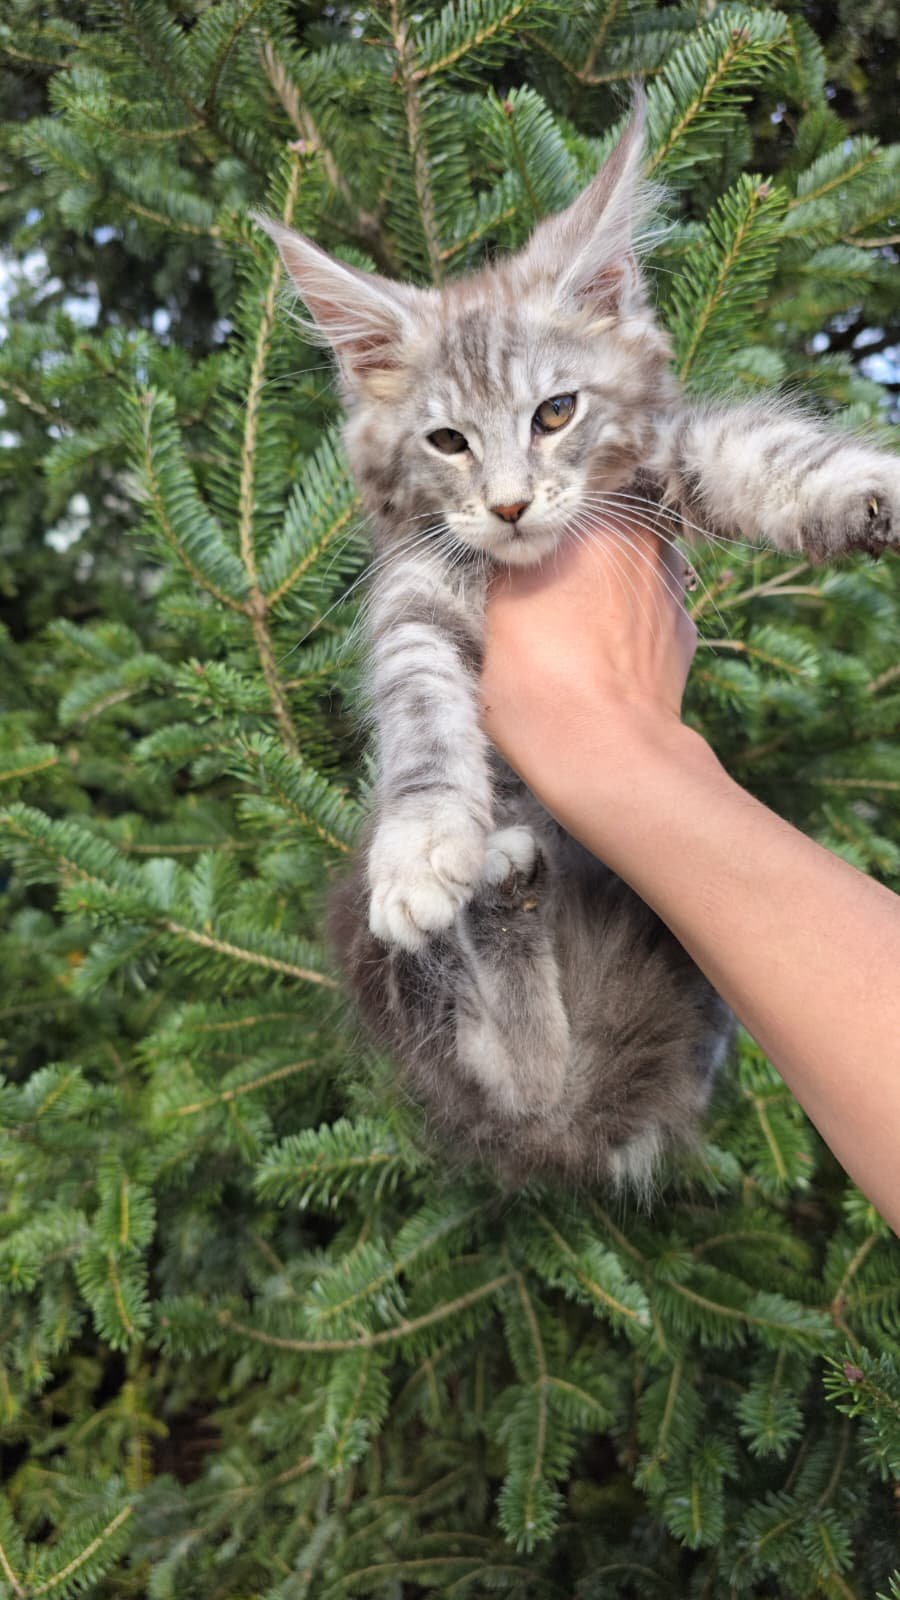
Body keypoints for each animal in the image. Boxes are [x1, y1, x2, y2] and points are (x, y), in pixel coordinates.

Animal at [259, 102, 899, 1190]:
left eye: (555, 413)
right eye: (447, 442)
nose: (511, 505)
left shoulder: (664, 468)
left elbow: (760, 450)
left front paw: (864, 487)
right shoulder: (411, 594)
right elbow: (420, 706)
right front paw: (422, 844)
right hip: (394, 971)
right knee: (514, 1075)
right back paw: (493, 883)